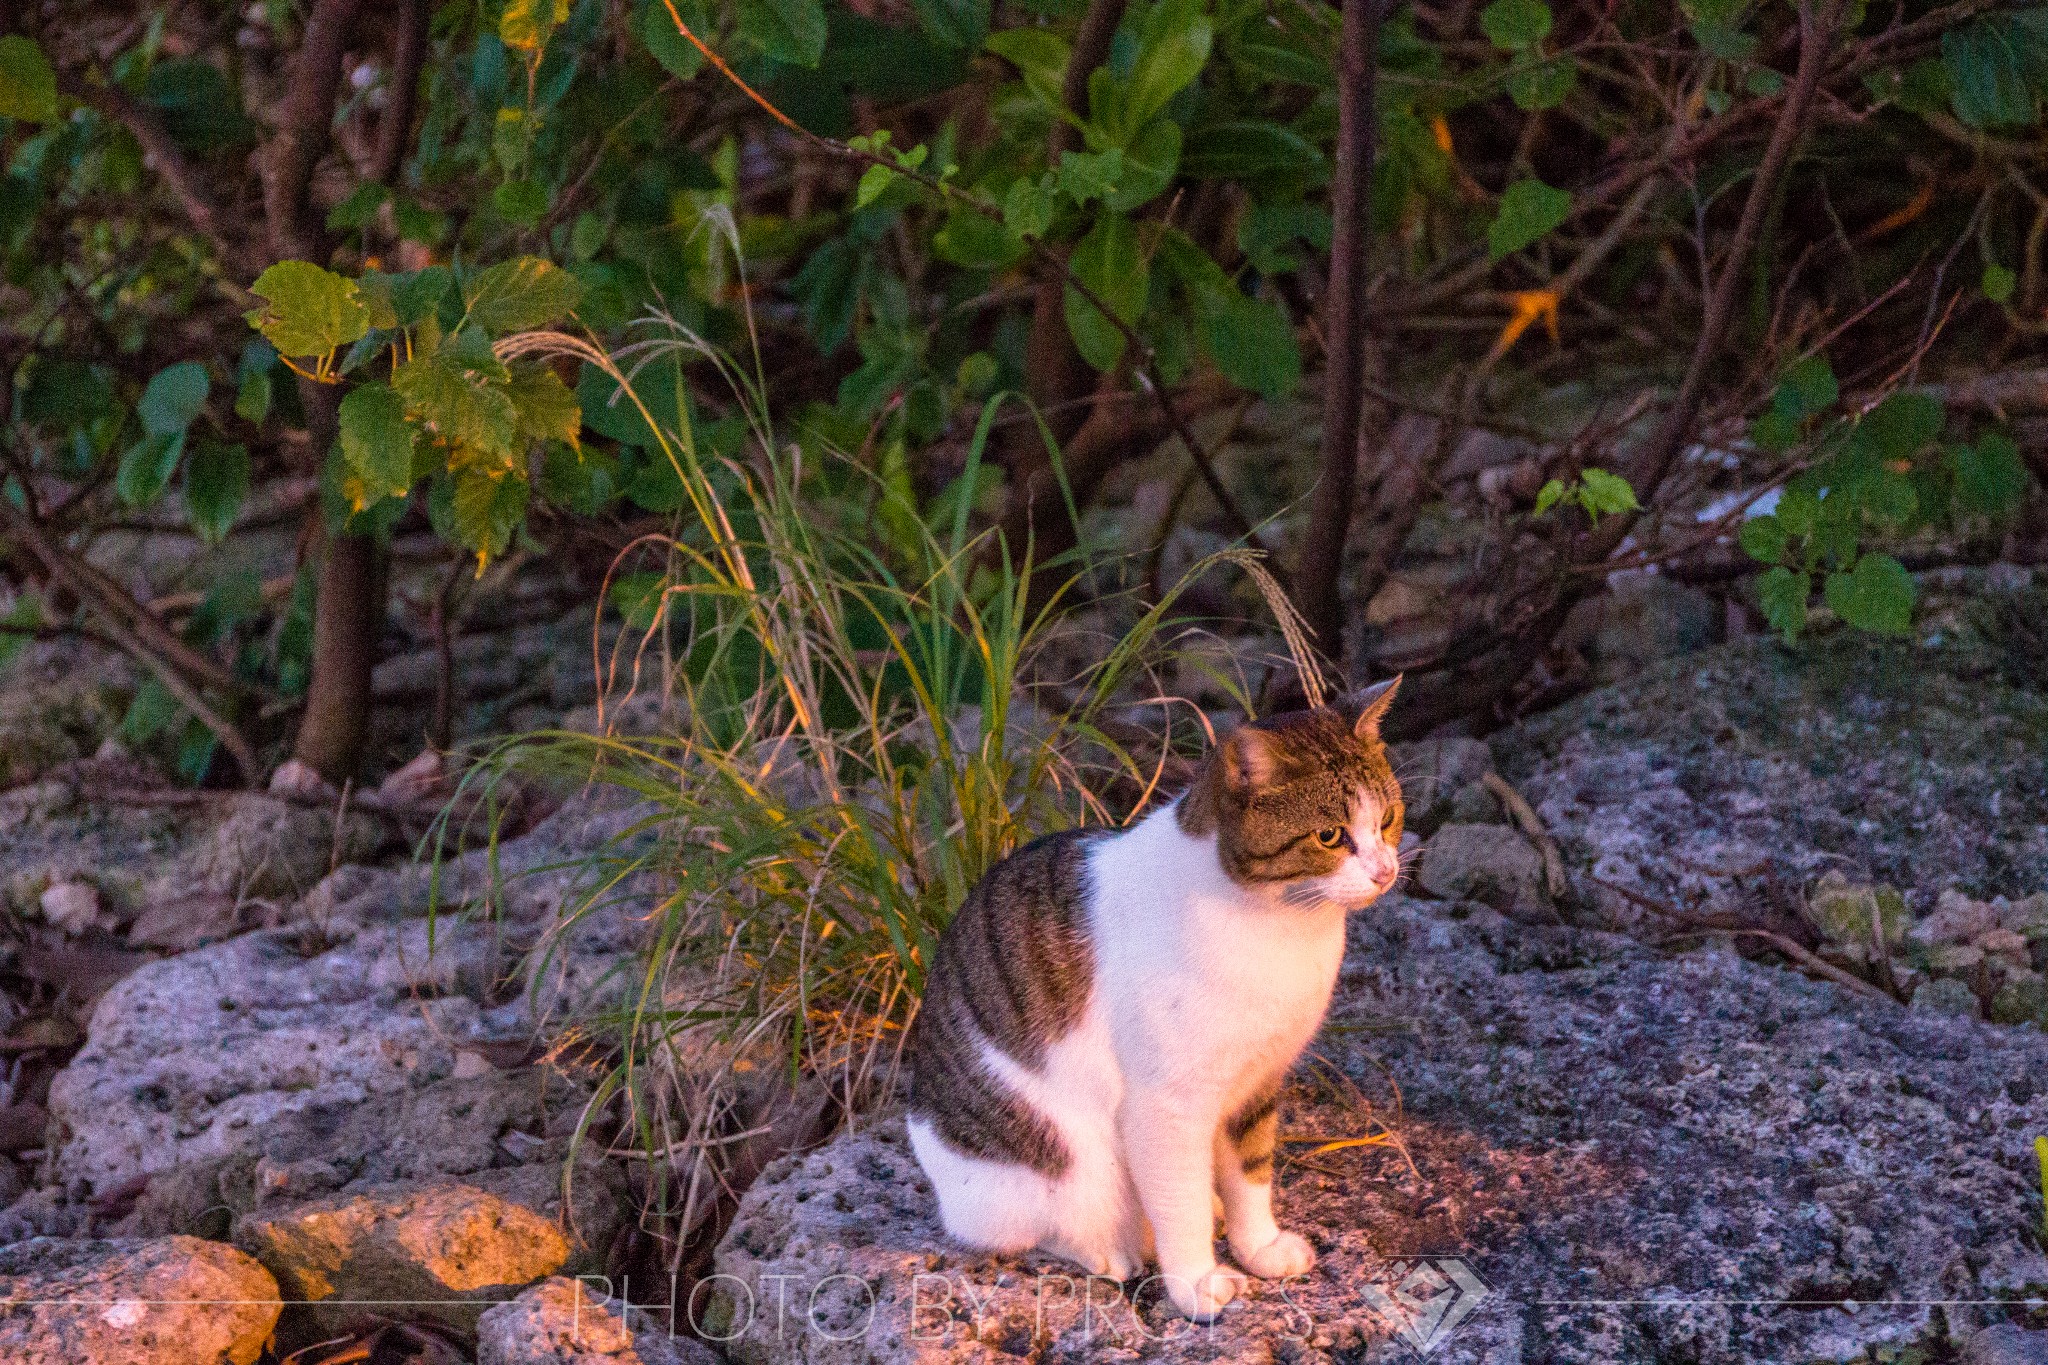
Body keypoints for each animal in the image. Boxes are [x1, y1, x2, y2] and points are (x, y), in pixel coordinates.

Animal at [913, 679, 1409, 1326]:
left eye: (1389, 819)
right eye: (1330, 836)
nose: (1385, 872)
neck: (1280, 926)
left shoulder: (1257, 1078)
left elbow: (1251, 1173)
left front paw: (1259, 1247)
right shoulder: (1167, 1105)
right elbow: (1181, 1201)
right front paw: (1196, 1283)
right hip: (1050, 1165)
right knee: (1031, 1228)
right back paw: (1112, 1249)